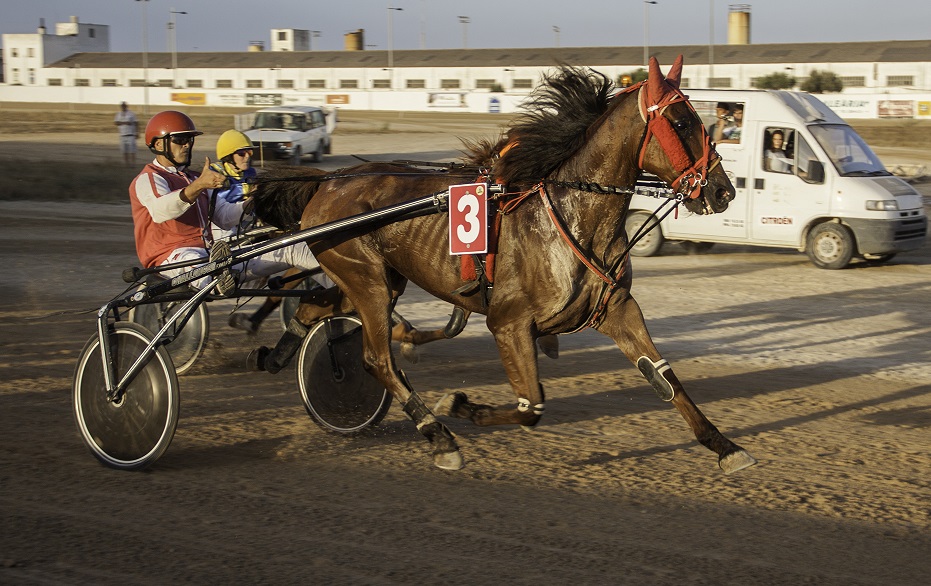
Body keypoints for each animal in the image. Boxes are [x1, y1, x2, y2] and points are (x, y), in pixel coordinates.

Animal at [253, 57, 756, 472]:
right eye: (681, 121)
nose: (723, 191)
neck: (573, 215)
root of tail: (328, 182)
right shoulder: (508, 323)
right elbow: (531, 406)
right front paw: (459, 407)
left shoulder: (617, 309)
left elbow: (665, 378)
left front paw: (725, 447)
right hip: (368, 281)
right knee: (377, 359)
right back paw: (438, 436)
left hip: (377, 280)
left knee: (316, 306)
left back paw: (279, 352)